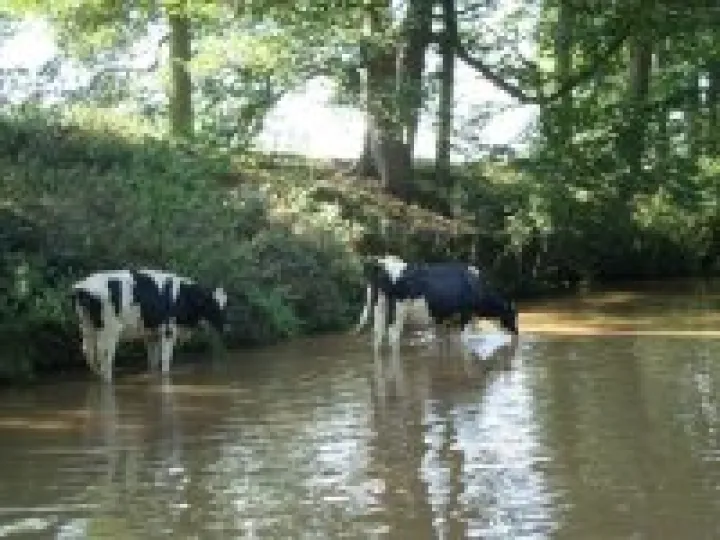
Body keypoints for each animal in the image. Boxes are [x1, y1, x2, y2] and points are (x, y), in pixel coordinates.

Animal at [71, 269, 228, 383]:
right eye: (214, 306)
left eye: (226, 305)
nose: (226, 327)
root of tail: (82, 287)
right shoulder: (168, 330)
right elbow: (165, 360)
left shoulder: (152, 334)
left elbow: (153, 361)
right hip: (110, 329)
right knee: (105, 356)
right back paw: (107, 379)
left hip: (87, 327)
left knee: (88, 352)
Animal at [355, 256, 518, 350]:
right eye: (513, 314)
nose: (516, 332)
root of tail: (382, 262)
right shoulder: (465, 313)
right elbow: (464, 338)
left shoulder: (444, 318)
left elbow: (443, 340)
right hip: (399, 309)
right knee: (393, 334)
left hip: (380, 305)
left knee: (378, 334)